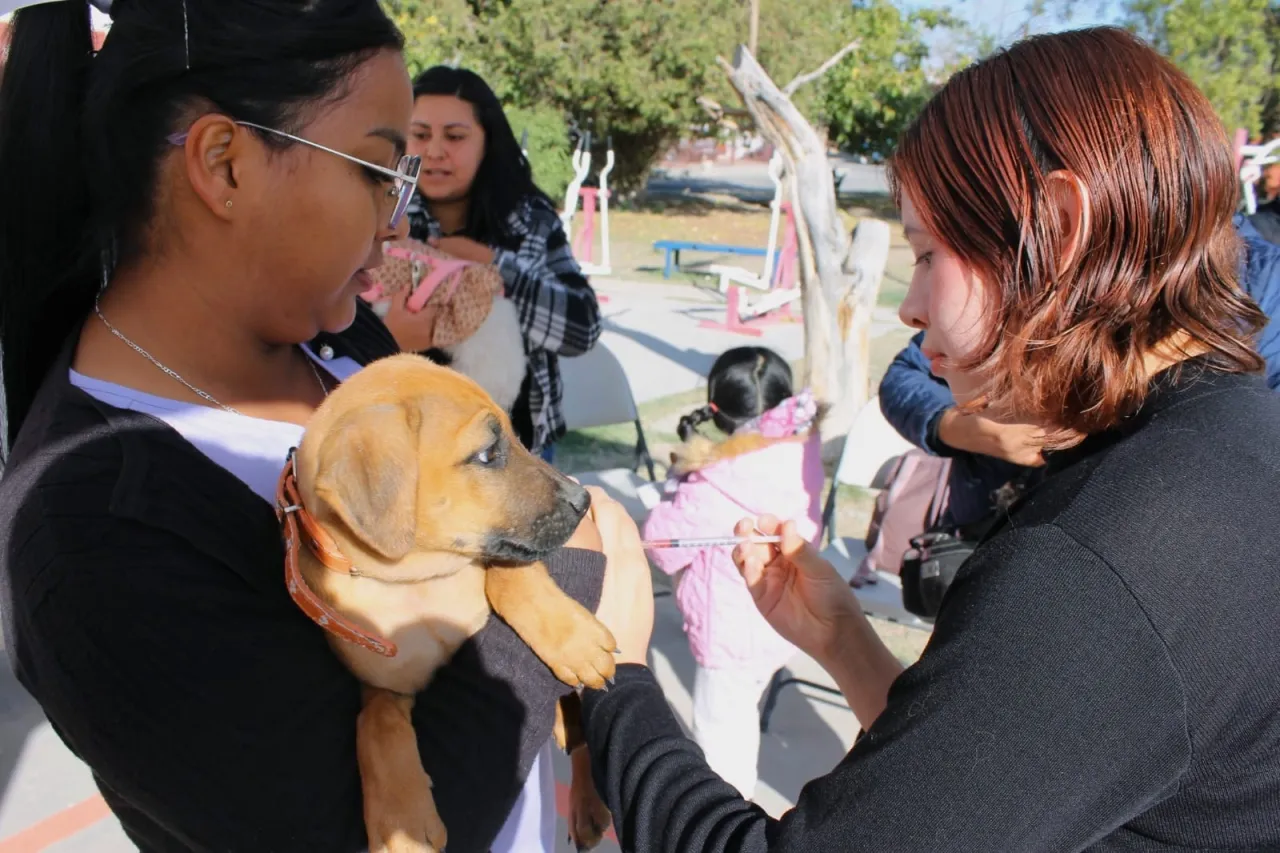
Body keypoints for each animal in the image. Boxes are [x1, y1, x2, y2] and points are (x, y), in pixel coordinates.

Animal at [279, 350, 614, 850]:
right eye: (486, 454)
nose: (583, 498)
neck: (421, 583)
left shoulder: (497, 558)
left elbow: (511, 579)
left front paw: (574, 641)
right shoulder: (384, 684)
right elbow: (375, 722)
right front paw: (402, 822)